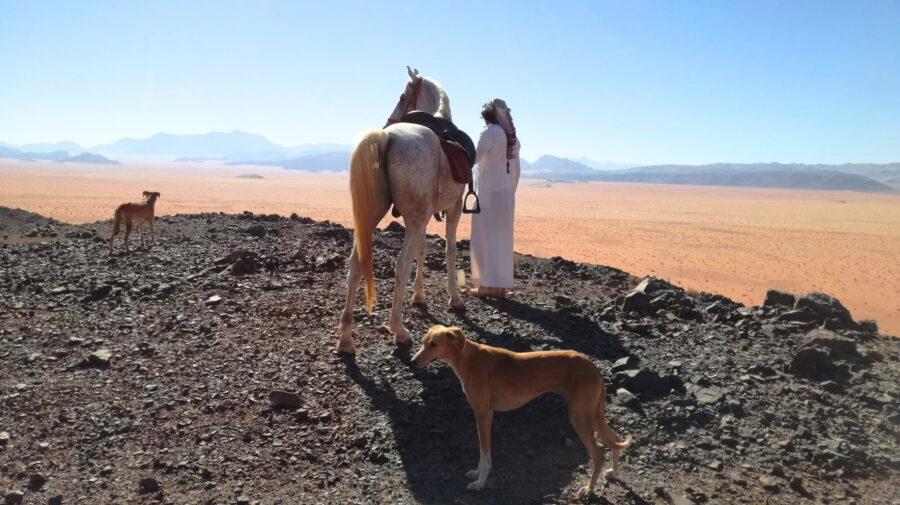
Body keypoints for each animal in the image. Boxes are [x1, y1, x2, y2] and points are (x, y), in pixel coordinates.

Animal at [337, 66, 467, 354]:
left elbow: (423, 249)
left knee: (355, 264)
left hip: (372, 215)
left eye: (401, 96)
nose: (389, 120)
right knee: (401, 264)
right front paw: (454, 297)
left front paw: (419, 296)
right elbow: (450, 250)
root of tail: (387, 137)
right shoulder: (452, 208)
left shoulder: (425, 215)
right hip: (415, 218)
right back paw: (398, 329)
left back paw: (346, 337)